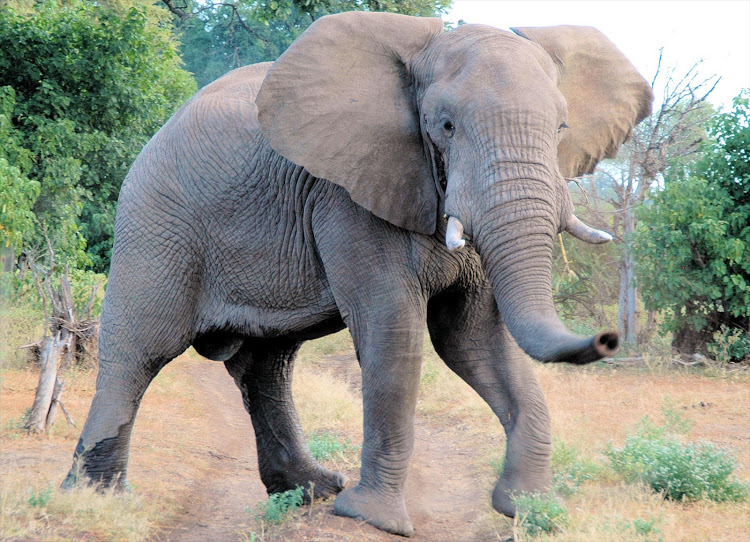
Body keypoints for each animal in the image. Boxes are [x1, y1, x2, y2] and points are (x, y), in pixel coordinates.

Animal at [63, 12, 652, 540]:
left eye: (561, 128)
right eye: (446, 126)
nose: (609, 337)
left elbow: (473, 339)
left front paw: (525, 508)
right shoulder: (346, 197)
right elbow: (395, 333)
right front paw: (375, 520)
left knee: (266, 364)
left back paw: (313, 491)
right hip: (154, 223)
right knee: (141, 352)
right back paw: (97, 502)